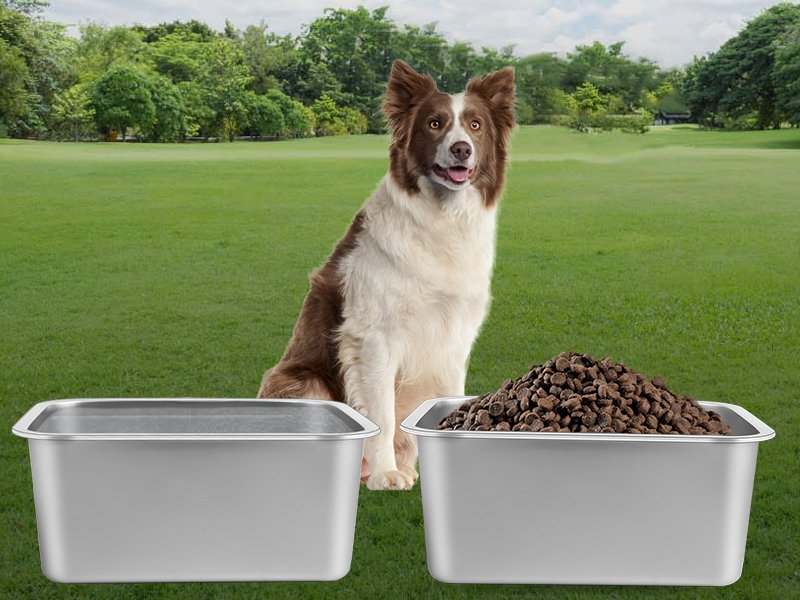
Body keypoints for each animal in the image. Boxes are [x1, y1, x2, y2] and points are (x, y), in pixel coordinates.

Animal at [260, 58, 516, 490]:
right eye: (434, 123)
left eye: (476, 125)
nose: (461, 149)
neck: (442, 220)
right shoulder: (373, 338)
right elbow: (380, 412)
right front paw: (386, 475)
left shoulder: (454, 337)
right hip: (304, 381)